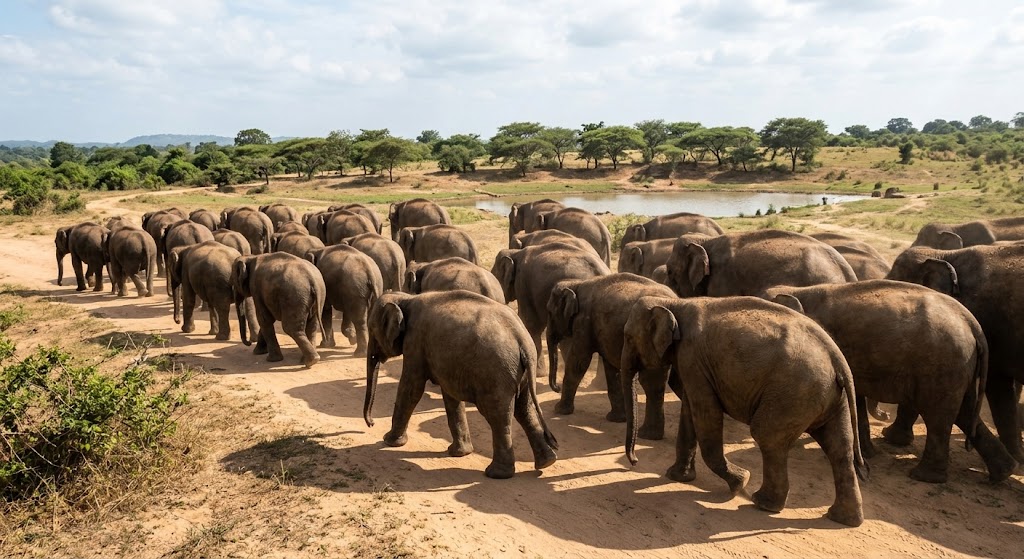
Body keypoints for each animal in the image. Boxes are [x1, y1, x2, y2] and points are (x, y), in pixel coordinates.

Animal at [364, 291, 558, 479]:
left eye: (372, 330)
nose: (371, 423)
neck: (405, 298)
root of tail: (522, 339)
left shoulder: (415, 342)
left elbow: (412, 388)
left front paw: (388, 441)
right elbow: (450, 396)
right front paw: (459, 453)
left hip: (496, 374)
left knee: (497, 416)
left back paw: (496, 474)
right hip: (519, 373)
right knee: (524, 410)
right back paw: (547, 462)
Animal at [546, 274, 679, 438]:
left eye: (549, 312)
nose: (556, 388)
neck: (576, 284)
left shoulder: (583, 321)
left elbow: (578, 362)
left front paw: (559, 410)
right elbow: (611, 368)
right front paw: (616, 419)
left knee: (651, 382)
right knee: (655, 384)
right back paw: (650, 436)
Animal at [621, 296, 867, 527]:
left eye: (629, 337)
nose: (634, 462)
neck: (674, 303)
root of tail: (836, 357)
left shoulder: (692, 359)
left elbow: (706, 414)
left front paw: (741, 482)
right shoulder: (691, 364)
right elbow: (690, 411)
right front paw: (677, 477)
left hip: (794, 392)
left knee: (767, 435)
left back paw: (763, 503)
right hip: (829, 397)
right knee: (839, 447)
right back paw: (843, 519)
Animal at [765, 281, 1015, 483]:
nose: (885, 414)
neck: (799, 290)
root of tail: (973, 324)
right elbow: (856, 397)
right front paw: (868, 455)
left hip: (943, 365)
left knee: (939, 416)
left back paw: (923, 477)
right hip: (959, 367)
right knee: (962, 412)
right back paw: (1002, 473)